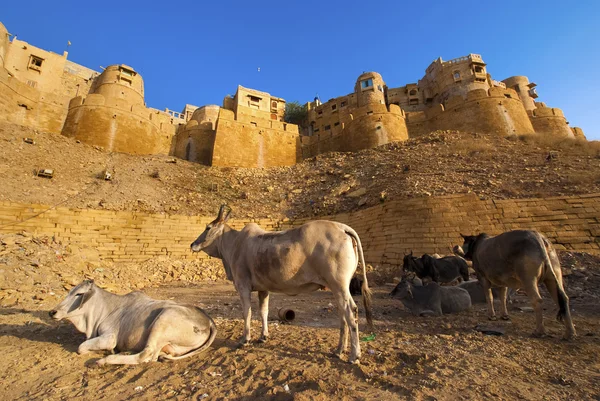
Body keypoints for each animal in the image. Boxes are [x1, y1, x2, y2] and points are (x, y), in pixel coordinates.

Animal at [49, 280, 217, 364]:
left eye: (79, 294)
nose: (52, 312)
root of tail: (209, 321)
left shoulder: (109, 337)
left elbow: (81, 348)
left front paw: (105, 351)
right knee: (154, 355)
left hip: (163, 320)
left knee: (146, 355)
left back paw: (106, 360)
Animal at [191, 205, 370, 364]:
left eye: (208, 227)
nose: (193, 244)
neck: (235, 243)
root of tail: (342, 228)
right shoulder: (263, 289)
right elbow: (263, 311)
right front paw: (263, 336)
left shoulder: (243, 286)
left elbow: (247, 312)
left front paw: (245, 339)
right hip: (336, 288)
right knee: (342, 314)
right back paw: (339, 350)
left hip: (339, 286)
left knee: (351, 312)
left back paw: (354, 356)